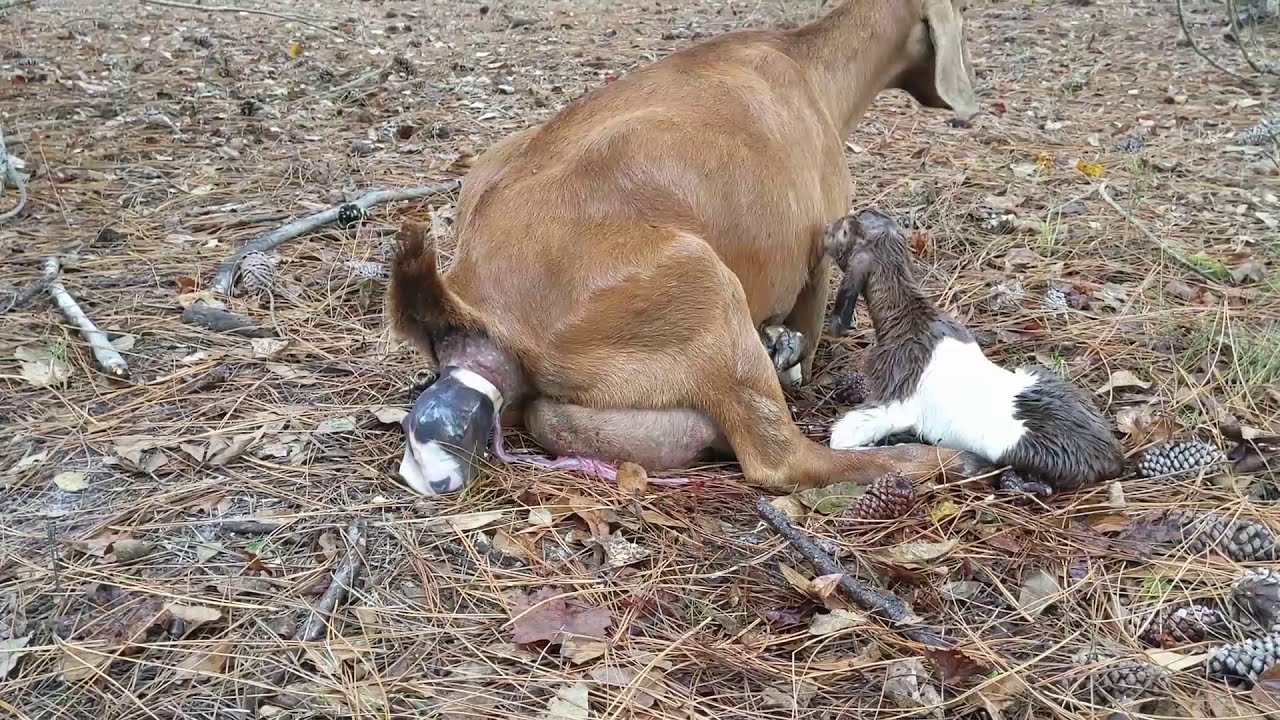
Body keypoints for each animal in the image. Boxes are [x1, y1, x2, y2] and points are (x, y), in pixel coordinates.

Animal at [387, 0, 989, 497]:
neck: (809, 67)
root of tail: (476, 304)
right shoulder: (818, 254)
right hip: (704, 290)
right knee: (783, 458)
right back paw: (939, 459)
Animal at [823, 209, 1126, 493]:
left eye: (846, 231)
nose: (826, 229)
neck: (910, 321)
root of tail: (1113, 457)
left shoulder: (893, 397)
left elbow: (842, 437)